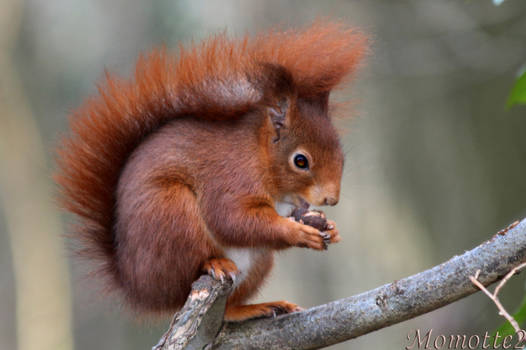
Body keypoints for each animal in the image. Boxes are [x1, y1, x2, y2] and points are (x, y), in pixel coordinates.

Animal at [53, 21, 368, 322]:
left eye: (342, 155)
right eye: (300, 161)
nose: (331, 199)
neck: (259, 156)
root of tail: (137, 286)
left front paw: (330, 227)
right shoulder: (229, 177)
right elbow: (231, 218)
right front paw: (298, 232)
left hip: (258, 262)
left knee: (227, 309)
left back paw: (257, 307)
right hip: (171, 214)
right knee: (185, 276)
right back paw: (214, 263)